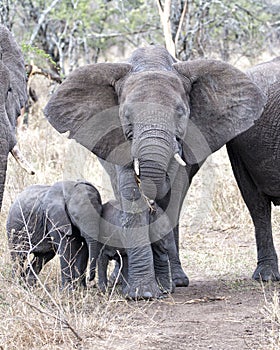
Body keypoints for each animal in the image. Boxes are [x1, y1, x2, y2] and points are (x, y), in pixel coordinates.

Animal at [43, 45, 264, 298]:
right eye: (126, 116)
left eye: (181, 113)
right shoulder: (119, 140)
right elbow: (131, 195)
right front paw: (142, 293)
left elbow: (171, 197)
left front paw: (161, 287)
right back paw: (120, 279)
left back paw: (175, 280)